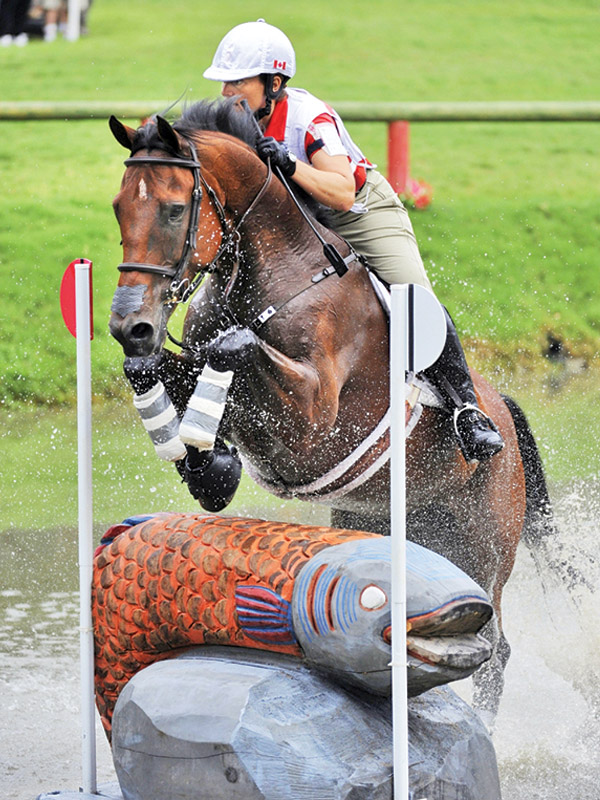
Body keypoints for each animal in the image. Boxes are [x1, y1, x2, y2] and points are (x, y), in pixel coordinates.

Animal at [107, 99, 554, 722]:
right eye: (120, 208)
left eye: (174, 211)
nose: (131, 326)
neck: (276, 272)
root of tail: (505, 413)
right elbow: (161, 373)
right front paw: (209, 469)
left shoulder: (311, 421)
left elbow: (234, 349)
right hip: (391, 527)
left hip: (484, 547)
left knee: (495, 648)